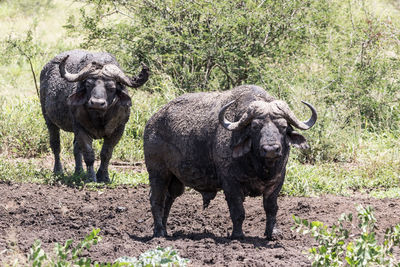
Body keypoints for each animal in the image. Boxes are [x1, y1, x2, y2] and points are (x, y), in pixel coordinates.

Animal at [39, 49, 149, 183]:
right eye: (88, 85)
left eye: (111, 87)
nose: (97, 103)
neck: (99, 117)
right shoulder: (80, 128)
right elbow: (89, 154)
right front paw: (91, 177)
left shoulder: (118, 129)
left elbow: (106, 153)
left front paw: (104, 176)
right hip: (48, 119)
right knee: (56, 145)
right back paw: (58, 171)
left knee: (76, 148)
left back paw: (79, 172)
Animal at [143, 86, 316, 241]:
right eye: (255, 126)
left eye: (283, 126)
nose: (271, 149)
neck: (258, 166)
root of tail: (152, 123)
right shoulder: (230, 183)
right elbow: (238, 211)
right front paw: (237, 235)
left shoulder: (277, 181)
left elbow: (271, 208)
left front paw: (272, 233)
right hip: (158, 172)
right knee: (156, 199)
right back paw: (159, 232)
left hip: (175, 180)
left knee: (168, 199)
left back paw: (165, 230)